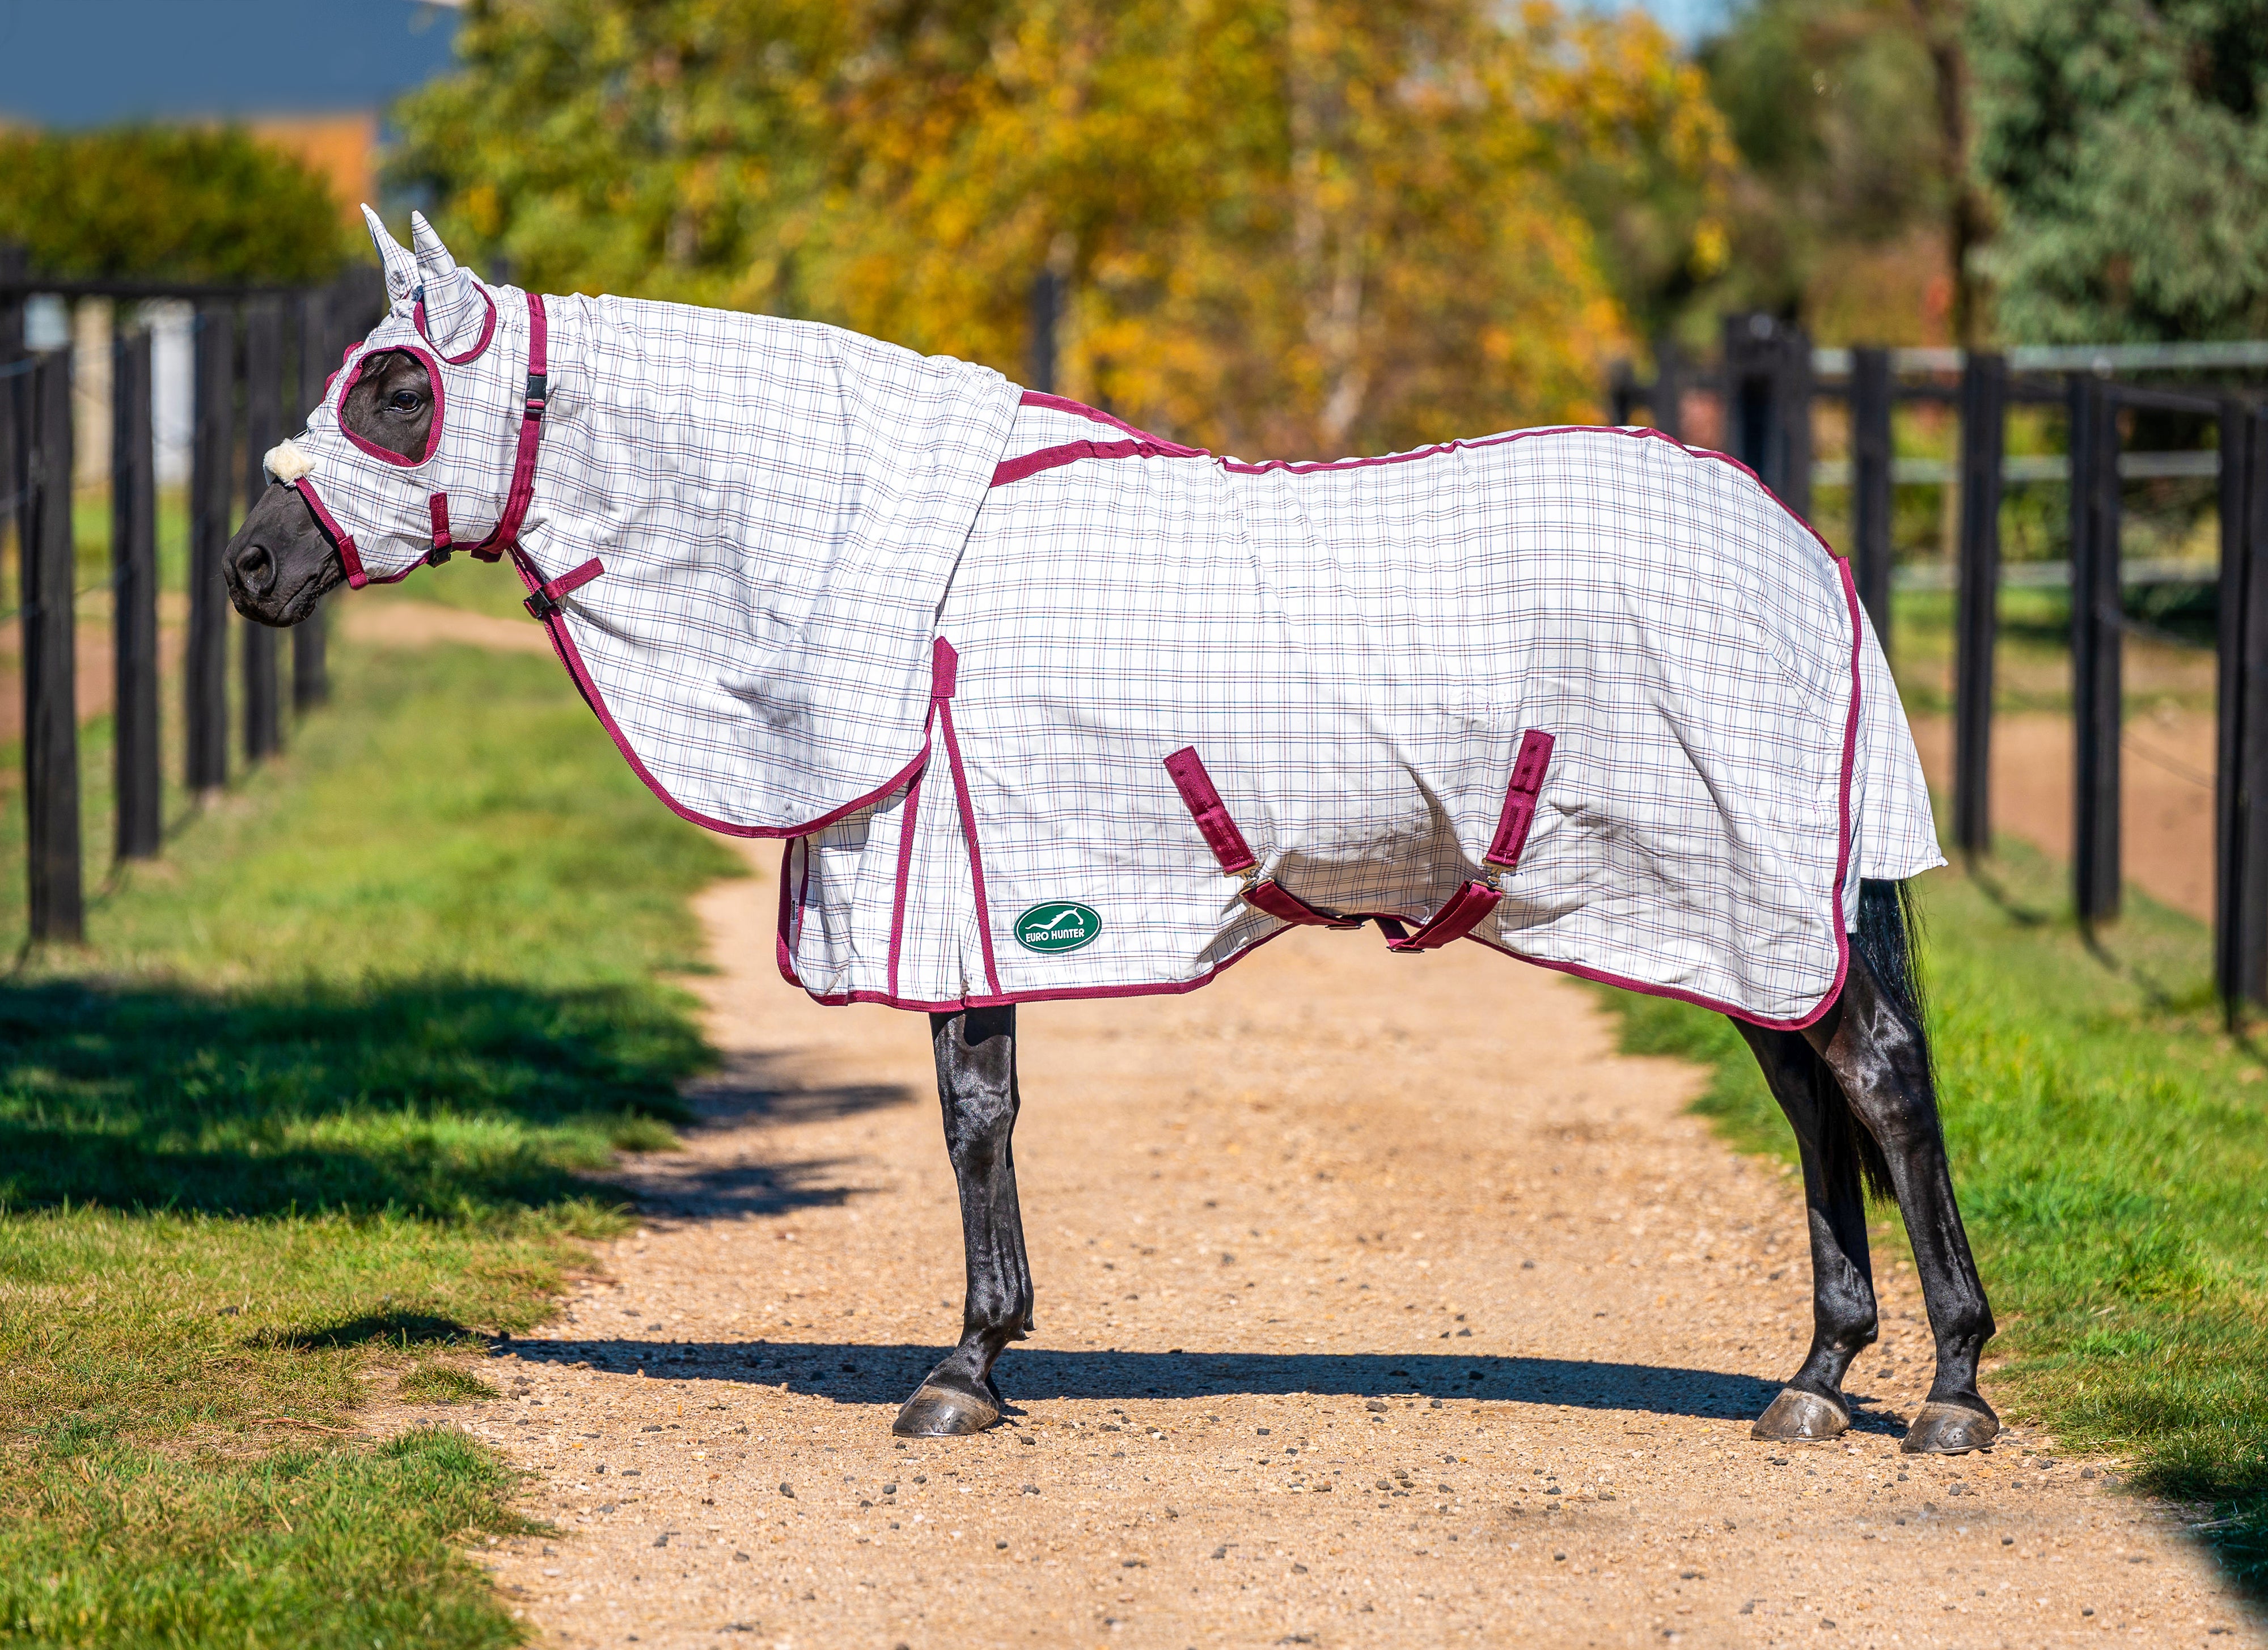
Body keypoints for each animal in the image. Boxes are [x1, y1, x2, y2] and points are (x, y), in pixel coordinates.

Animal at [223, 208, 1998, 1454]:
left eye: (394, 390)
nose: (250, 565)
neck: (868, 567)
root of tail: (1800, 543)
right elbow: (988, 1117)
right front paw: (989, 1352)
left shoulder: (957, 886)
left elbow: (970, 1118)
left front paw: (963, 1366)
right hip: (1720, 906)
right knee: (1813, 1095)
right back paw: (1816, 1376)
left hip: (1747, 884)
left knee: (1878, 1078)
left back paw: (1950, 1389)